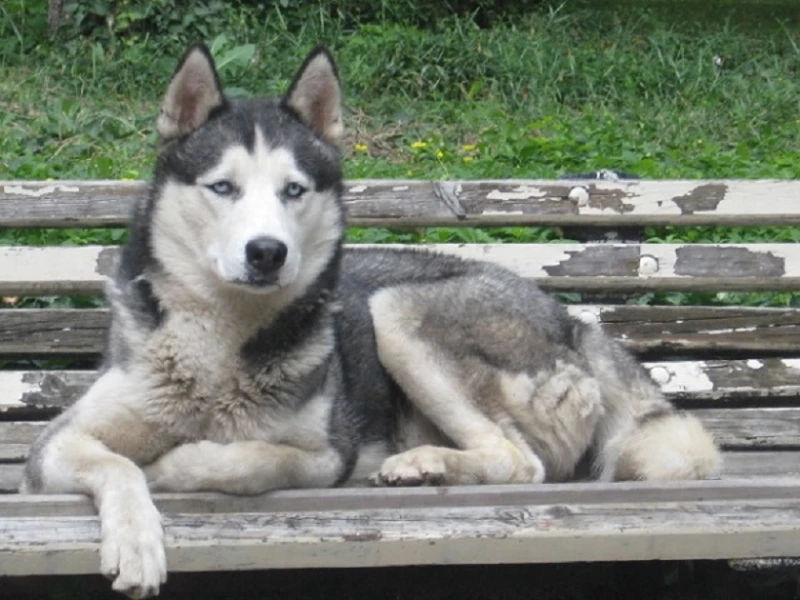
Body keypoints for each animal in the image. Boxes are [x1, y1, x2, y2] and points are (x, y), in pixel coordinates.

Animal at [20, 44, 720, 596]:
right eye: (222, 187)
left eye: (294, 190)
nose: (267, 251)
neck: (223, 347)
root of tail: (569, 321)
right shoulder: (54, 445)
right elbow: (115, 464)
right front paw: (137, 540)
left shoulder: (328, 454)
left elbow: (246, 458)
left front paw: (173, 464)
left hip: (399, 310)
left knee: (519, 461)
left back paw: (426, 463)